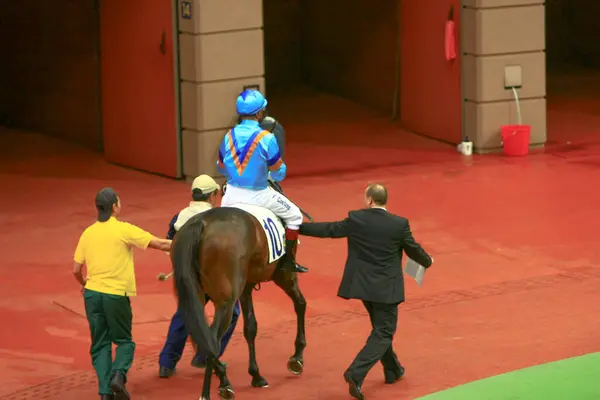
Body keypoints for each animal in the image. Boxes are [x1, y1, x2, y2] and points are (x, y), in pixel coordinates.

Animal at [171, 205, 308, 398]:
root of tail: (202, 223)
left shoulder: (246, 287)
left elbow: (250, 327)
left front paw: (256, 375)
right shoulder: (284, 275)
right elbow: (300, 304)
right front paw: (297, 358)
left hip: (194, 296)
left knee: (197, 332)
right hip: (226, 302)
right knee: (211, 339)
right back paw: (217, 387)